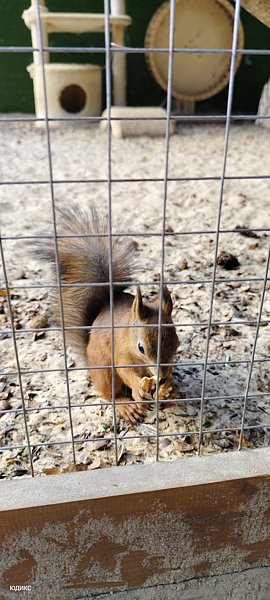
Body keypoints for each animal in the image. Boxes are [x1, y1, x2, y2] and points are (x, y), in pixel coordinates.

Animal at [37, 205, 177, 422]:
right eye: (141, 348)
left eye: (177, 343)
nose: (161, 376)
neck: (128, 333)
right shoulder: (119, 351)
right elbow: (125, 370)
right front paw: (139, 388)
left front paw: (167, 386)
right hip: (104, 371)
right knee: (111, 394)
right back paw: (126, 406)